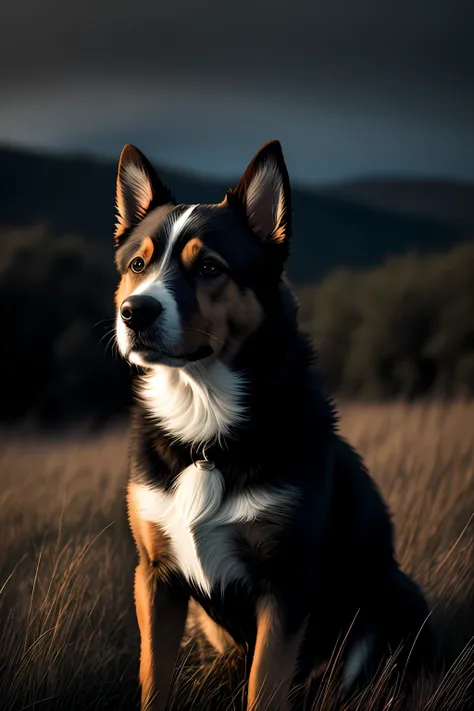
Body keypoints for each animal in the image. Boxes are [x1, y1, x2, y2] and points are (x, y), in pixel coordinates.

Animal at [112, 140, 434, 711]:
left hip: (397, 594)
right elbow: (155, 680)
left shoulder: (285, 586)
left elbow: (265, 689)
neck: (205, 424)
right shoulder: (156, 578)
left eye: (209, 267)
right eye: (137, 264)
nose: (135, 312)